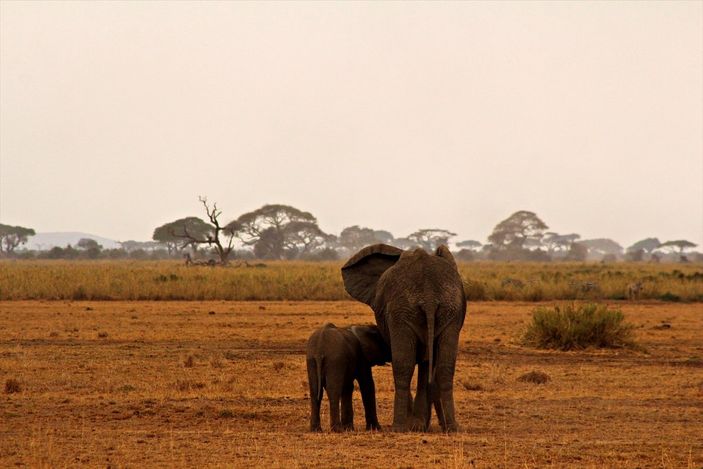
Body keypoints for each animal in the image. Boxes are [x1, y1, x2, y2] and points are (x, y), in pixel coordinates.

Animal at [342, 245, 468, 432]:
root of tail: (429, 295)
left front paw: (416, 424)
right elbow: (427, 363)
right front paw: (419, 425)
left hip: (402, 312)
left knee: (403, 366)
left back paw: (399, 427)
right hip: (449, 310)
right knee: (445, 367)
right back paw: (451, 428)